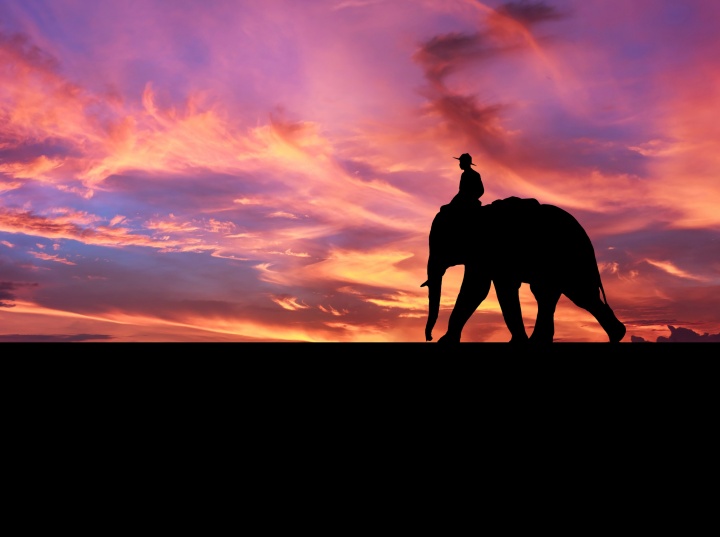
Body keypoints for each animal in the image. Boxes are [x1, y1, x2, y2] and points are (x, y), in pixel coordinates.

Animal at [420, 197, 628, 344]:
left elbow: (490, 288)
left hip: (570, 259)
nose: (429, 337)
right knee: (551, 295)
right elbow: (477, 289)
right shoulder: (482, 255)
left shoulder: (497, 251)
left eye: (441, 243)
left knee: (579, 294)